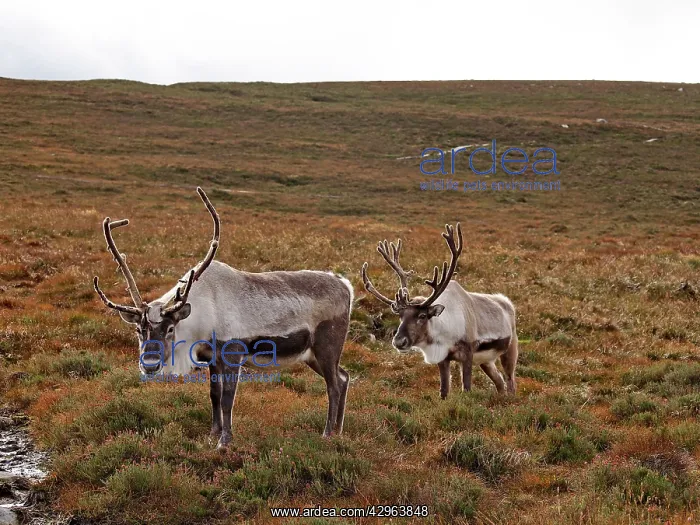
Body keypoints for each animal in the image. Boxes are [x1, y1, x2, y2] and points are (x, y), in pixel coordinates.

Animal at [93, 188, 354, 449]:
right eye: (138, 329)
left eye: (169, 329)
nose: (149, 365)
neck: (204, 314)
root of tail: (346, 286)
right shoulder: (212, 359)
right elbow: (214, 396)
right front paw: (212, 434)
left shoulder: (232, 354)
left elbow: (228, 399)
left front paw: (224, 442)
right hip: (311, 355)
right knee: (343, 377)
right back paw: (339, 430)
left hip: (327, 346)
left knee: (333, 385)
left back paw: (327, 433)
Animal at [361, 224, 518, 399]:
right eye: (400, 316)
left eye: (422, 315)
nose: (399, 341)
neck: (445, 333)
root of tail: (507, 302)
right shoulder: (443, 358)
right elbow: (443, 390)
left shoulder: (468, 354)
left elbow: (466, 387)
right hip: (486, 360)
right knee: (499, 382)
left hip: (511, 348)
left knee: (510, 381)